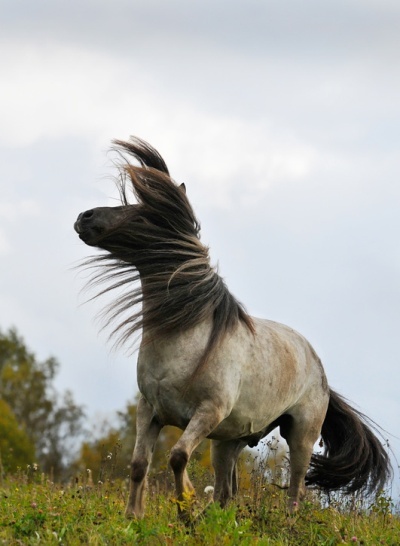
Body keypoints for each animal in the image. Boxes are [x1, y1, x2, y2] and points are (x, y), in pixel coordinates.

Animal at [75, 136, 390, 520]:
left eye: (142, 211)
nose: (84, 217)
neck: (185, 338)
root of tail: (317, 365)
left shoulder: (207, 412)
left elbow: (177, 457)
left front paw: (185, 508)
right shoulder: (149, 411)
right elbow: (138, 464)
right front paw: (135, 517)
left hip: (299, 435)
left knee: (296, 489)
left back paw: (285, 524)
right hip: (229, 441)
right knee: (226, 492)